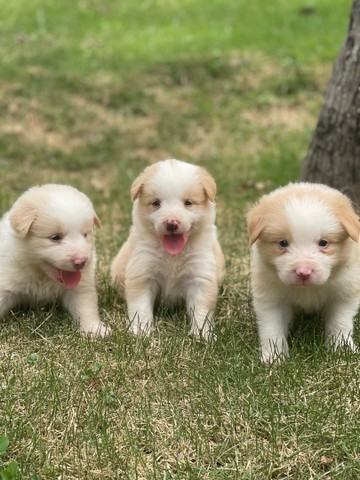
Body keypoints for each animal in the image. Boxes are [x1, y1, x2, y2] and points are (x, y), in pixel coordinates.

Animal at [0, 184, 109, 338]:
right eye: (55, 237)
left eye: (85, 234)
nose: (81, 261)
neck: (41, 274)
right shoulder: (6, 279)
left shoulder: (81, 286)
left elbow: (85, 307)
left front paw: (94, 330)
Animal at [111, 159, 224, 340]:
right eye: (156, 203)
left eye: (188, 203)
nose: (171, 223)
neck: (173, 255)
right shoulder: (142, 271)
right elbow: (141, 307)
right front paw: (140, 331)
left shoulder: (200, 274)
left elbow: (201, 310)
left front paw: (202, 335)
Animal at [246, 182, 360, 362]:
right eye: (283, 243)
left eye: (323, 243)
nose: (303, 272)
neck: (306, 290)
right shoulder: (270, 297)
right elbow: (272, 327)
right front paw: (274, 356)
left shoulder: (344, 292)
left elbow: (340, 323)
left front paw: (342, 349)